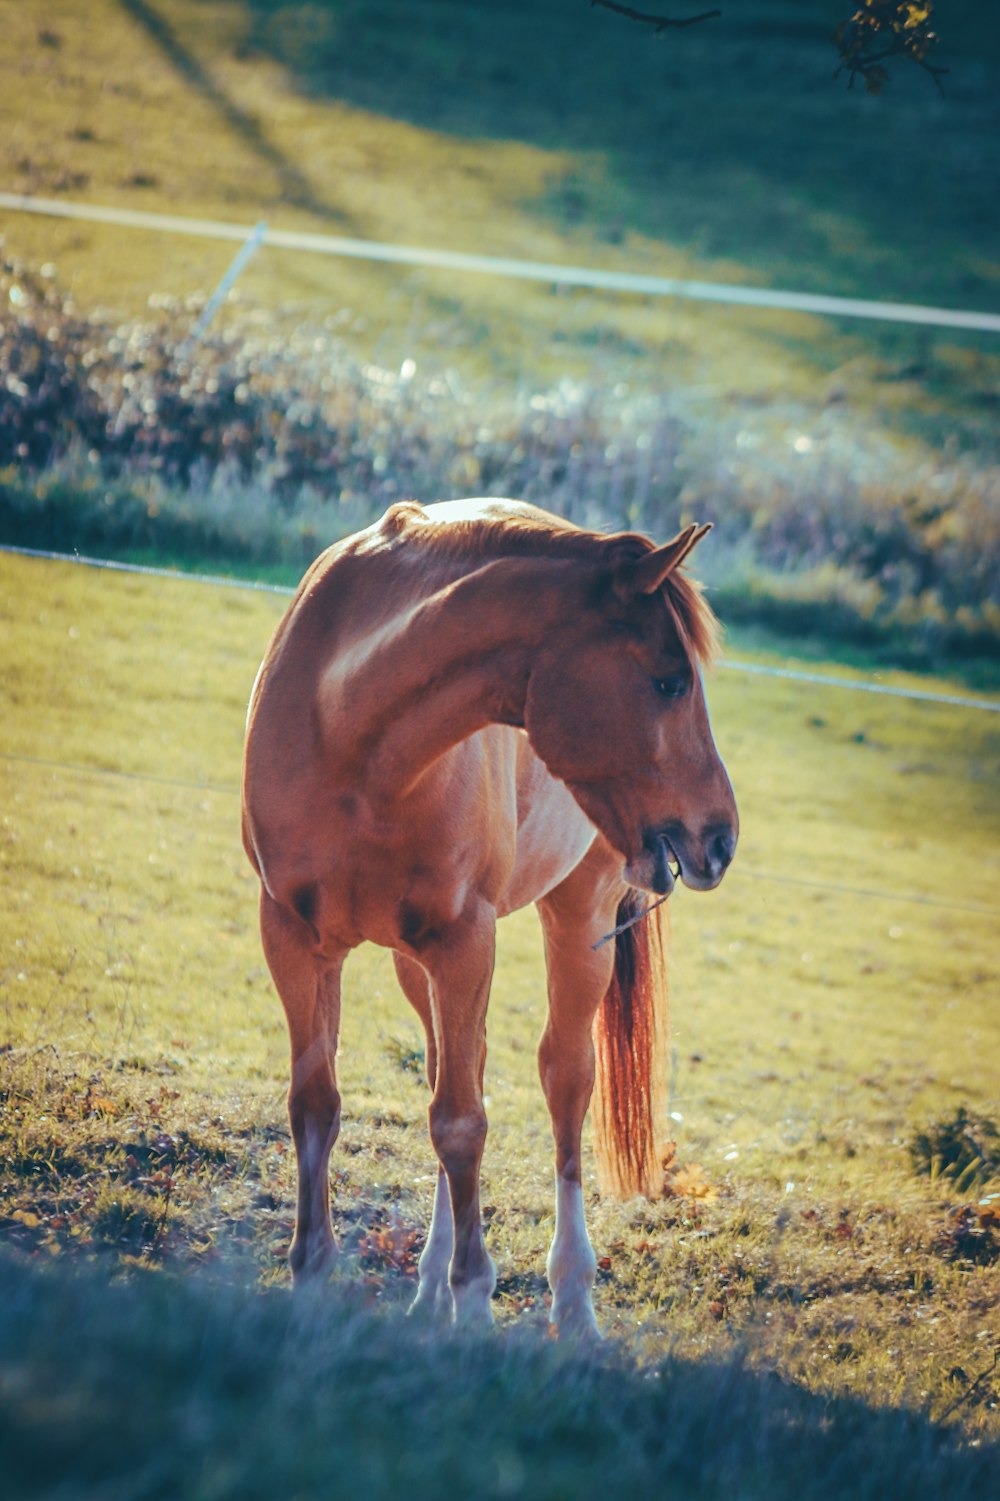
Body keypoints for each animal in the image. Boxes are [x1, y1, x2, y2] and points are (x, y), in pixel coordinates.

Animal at [243, 501, 732, 1338]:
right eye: (668, 682)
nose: (722, 835)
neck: (349, 733)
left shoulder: (465, 941)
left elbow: (462, 1123)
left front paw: (474, 1300)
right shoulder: (295, 940)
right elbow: (319, 1105)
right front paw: (313, 1278)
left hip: (576, 920)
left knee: (563, 1081)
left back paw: (572, 1301)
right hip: (414, 962)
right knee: (451, 1070)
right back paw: (429, 1288)